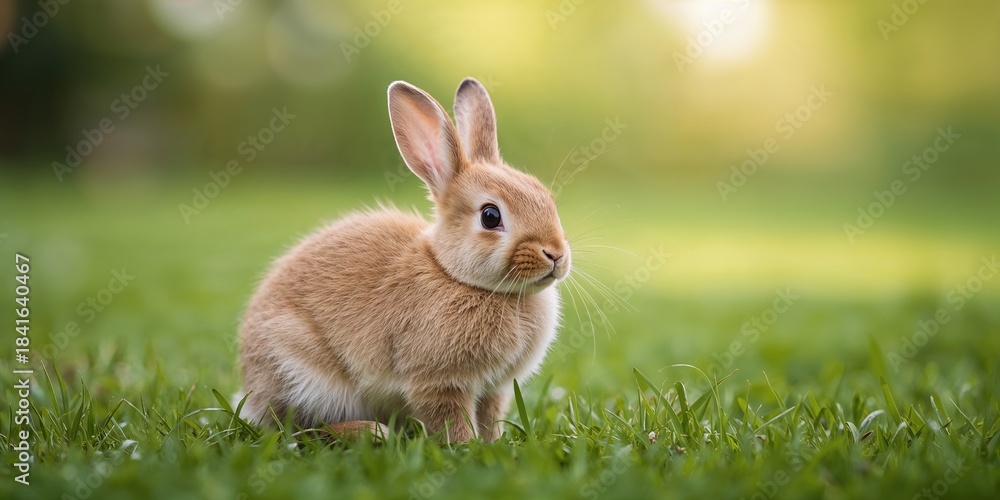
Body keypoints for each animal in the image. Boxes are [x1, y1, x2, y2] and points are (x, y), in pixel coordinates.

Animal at [237, 77, 571, 442]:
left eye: (546, 198)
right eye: (490, 216)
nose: (556, 254)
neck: (453, 274)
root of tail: (252, 392)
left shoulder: (494, 389)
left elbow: (489, 418)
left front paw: (492, 444)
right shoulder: (438, 381)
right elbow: (452, 420)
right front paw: (468, 448)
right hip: (303, 375)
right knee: (300, 429)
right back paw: (372, 432)